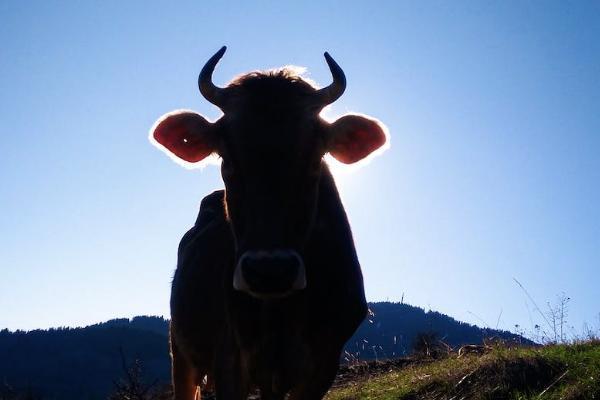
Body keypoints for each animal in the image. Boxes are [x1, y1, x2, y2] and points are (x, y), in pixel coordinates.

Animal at [150, 47, 390, 400]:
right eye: (227, 158)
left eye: (315, 156)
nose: (270, 271)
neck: (282, 314)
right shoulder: (229, 358)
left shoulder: (325, 360)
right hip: (180, 350)